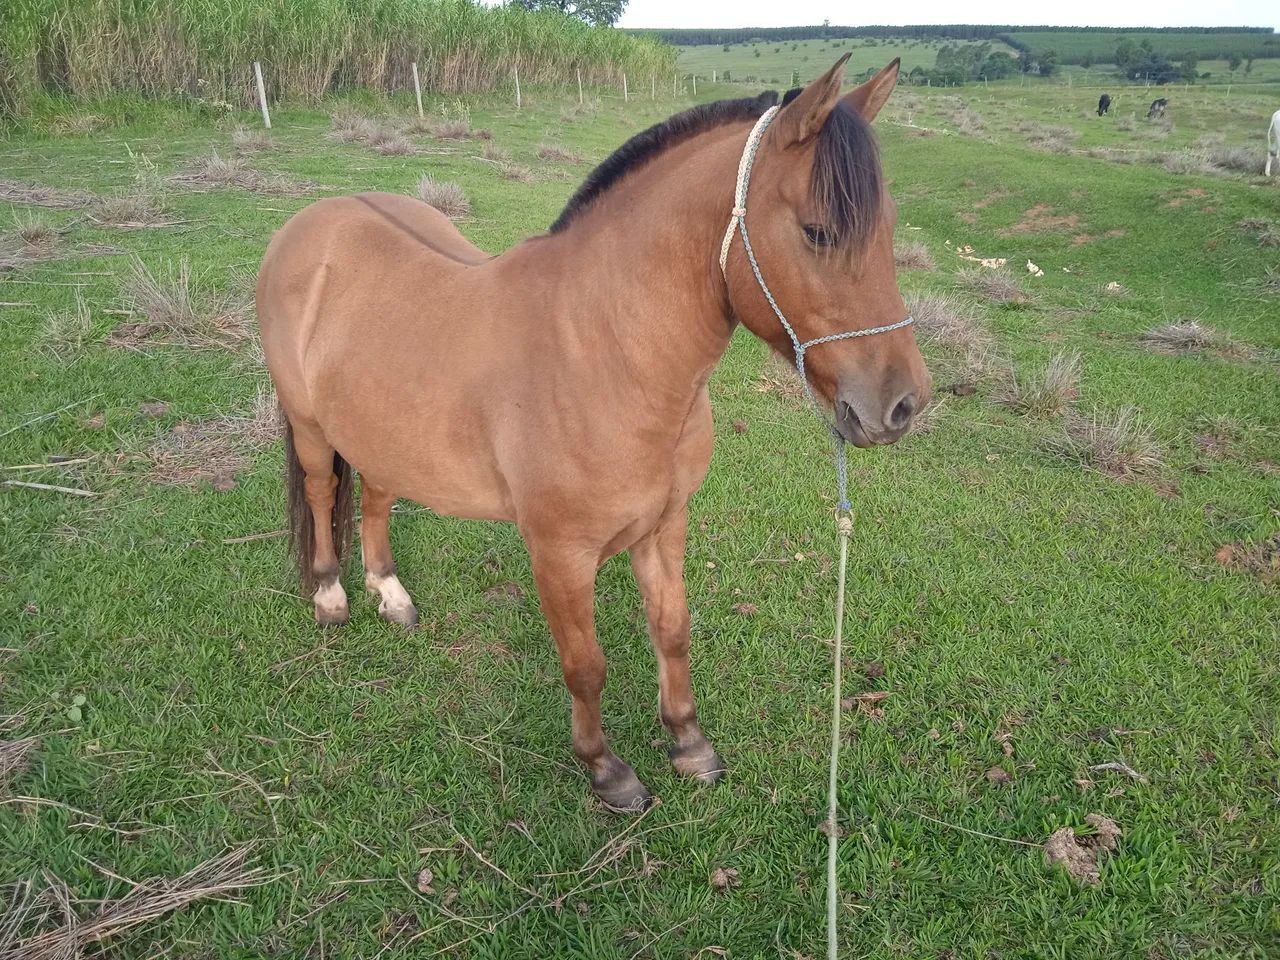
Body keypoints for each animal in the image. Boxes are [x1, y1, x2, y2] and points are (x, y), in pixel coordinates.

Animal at [256, 56, 930, 812]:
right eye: (817, 232)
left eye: (887, 227)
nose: (904, 404)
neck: (604, 354)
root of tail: (311, 225)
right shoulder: (560, 554)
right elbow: (585, 665)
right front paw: (606, 769)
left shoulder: (664, 526)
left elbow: (672, 631)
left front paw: (688, 744)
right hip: (311, 428)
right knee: (322, 494)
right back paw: (331, 596)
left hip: (382, 428)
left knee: (376, 494)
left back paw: (391, 594)